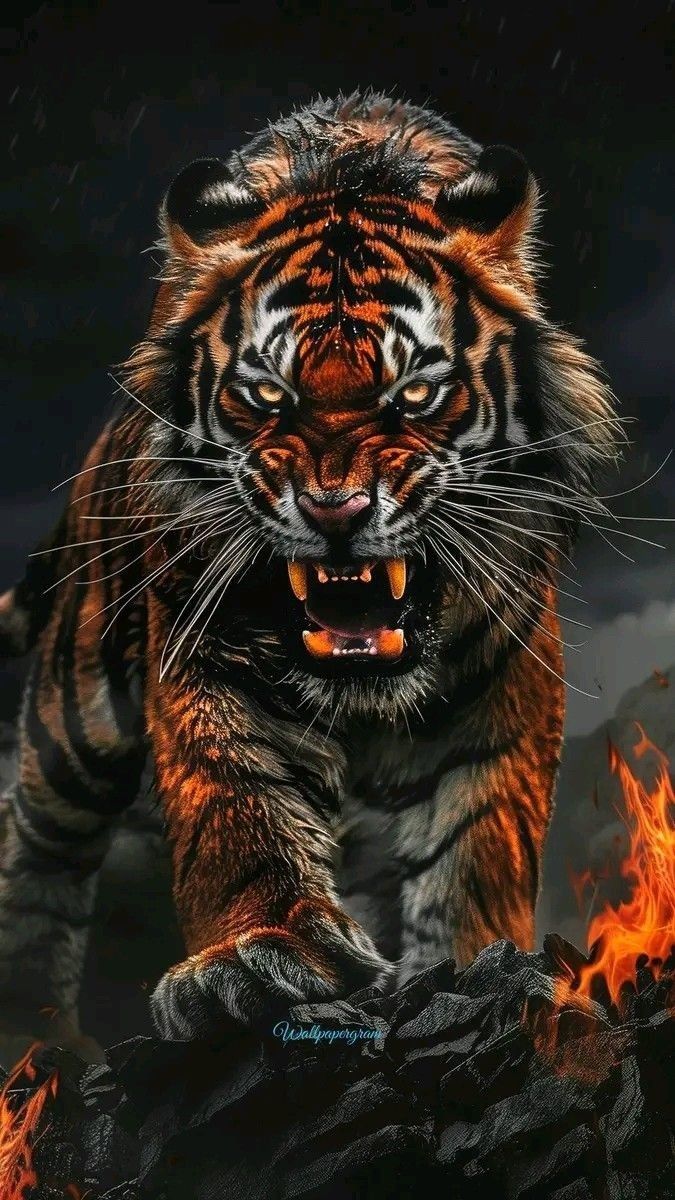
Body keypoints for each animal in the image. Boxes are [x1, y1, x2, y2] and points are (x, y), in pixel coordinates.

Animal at [0, 91, 617, 1046]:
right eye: (266, 395)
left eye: (414, 393)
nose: (335, 510)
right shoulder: (204, 653)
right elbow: (239, 812)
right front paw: (254, 961)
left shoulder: (501, 686)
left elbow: (473, 853)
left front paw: (480, 970)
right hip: (77, 720)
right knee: (39, 858)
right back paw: (39, 1044)